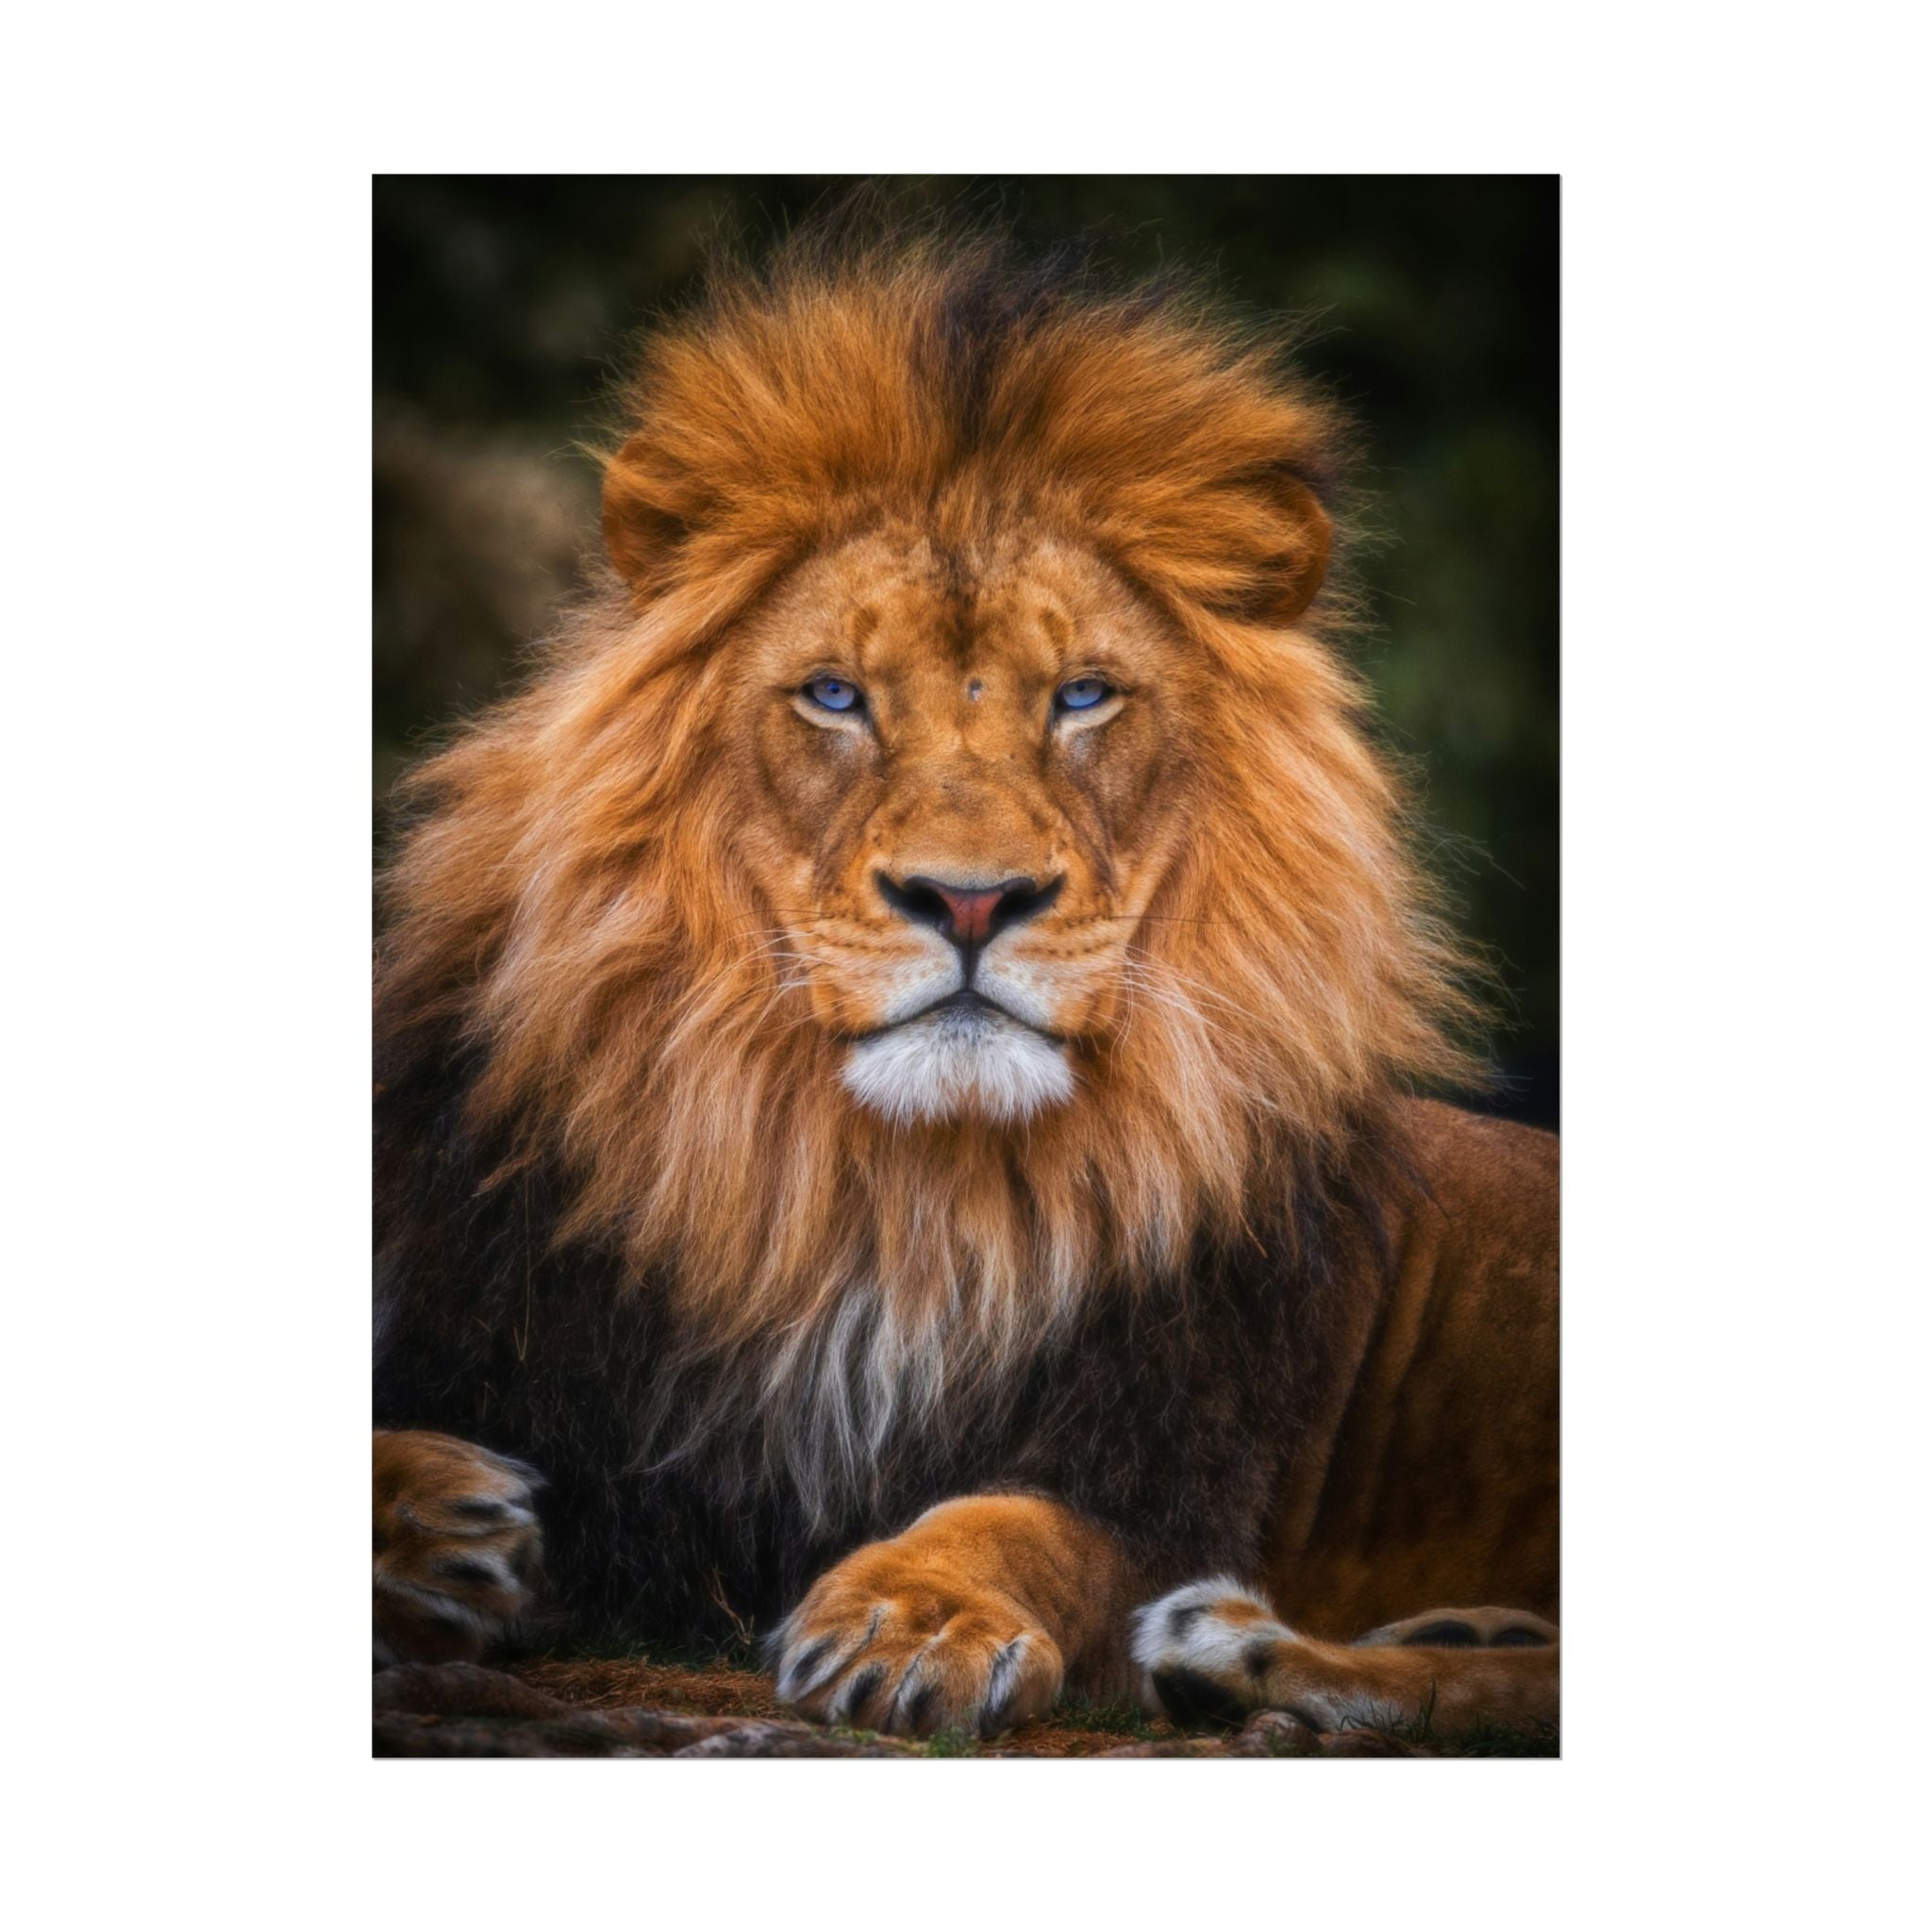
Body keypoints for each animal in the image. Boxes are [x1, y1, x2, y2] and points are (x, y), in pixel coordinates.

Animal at [372, 227, 1558, 1743]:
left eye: (1083, 696)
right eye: (833, 695)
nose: (972, 899)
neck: (887, 1198)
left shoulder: (1166, 1468)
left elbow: (1019, 1523)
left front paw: (912, 1617)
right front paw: (439, 1520)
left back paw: (1242, 1649)